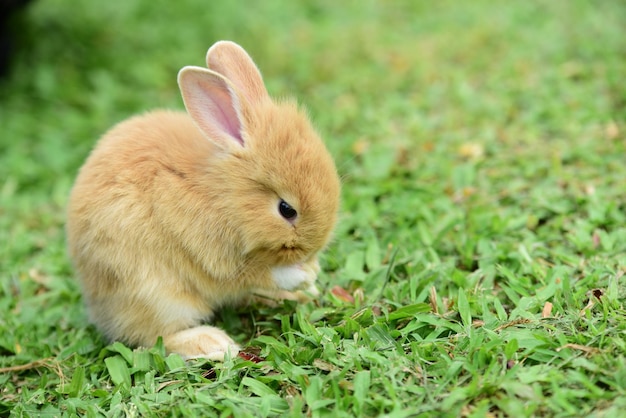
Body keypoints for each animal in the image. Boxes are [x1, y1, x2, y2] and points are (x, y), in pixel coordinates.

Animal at [66, 41, 338, 360]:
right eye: (286, 209)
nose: (312, 251)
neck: (225, 195)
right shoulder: (217, 259)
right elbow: (256, 274)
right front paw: (303, 275)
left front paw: (312, 277)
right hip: (156, 297)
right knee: (156, 338)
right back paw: (212, 343)